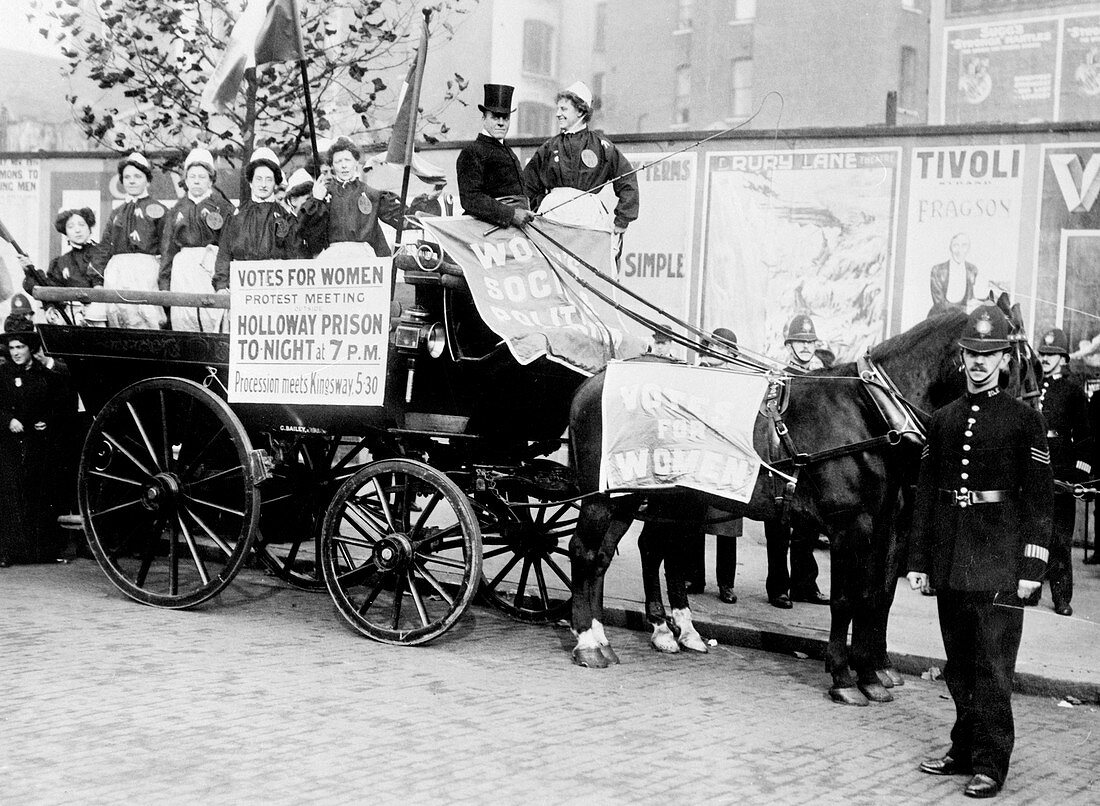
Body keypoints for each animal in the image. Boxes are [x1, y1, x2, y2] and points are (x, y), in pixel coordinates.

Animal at [567, 301, 1038, 703]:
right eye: (1013, 364)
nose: (1033, 437)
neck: (872, 413)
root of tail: (594, 380)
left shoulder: (891, 524)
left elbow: (878, 594)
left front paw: (874, 672)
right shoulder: (851, 524)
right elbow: (847, 599)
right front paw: (845, 676)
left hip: (647, 494)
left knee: (628, 553)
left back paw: (644, 632)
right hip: (606, 495)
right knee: (586, 551)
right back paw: (590, 640)